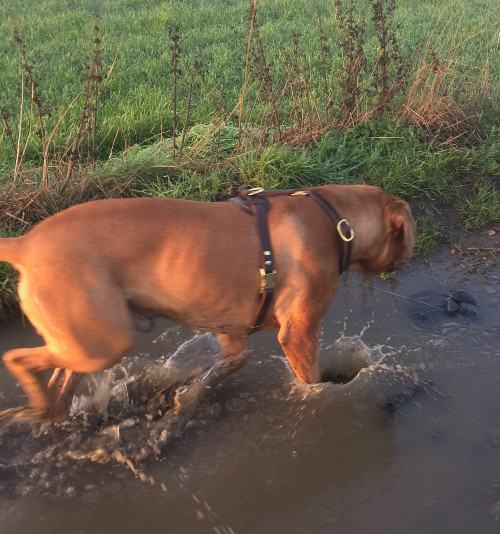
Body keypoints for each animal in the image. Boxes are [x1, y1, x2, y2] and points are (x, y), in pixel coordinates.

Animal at [0, 186, 414, 426]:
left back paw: (48, 412)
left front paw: (188, 393)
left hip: (83, 342)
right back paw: (36, 404)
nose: (407, 256)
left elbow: (225, 365)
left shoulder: (229, 333)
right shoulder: (298, 334)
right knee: (17, 358)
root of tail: (25, 243)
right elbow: (310, 381)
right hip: (102, 343)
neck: (335, 219)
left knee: (60, 380)